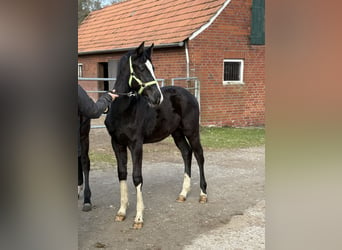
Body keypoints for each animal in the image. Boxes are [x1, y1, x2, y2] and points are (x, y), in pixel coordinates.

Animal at [104, 42, 207, 229]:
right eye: (141, 68)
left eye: (154, 68)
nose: (157, 97)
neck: (123, 110)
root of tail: (189, 94)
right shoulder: (117, 144)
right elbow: (122, 173)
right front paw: (121, 211)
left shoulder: (136, 145)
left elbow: (137, 177)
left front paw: (138, 218)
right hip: (177, 133)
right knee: (186, 153)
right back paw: (183, 193)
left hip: (192, 131)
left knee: (199, 155)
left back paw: (203, 194)